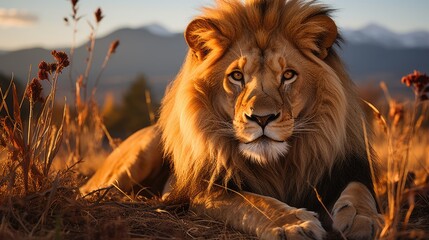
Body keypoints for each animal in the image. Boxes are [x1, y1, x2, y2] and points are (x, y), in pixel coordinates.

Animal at [81, 0, 382, 239]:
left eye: (288, 75)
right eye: (237, 76)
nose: (262, 118)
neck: (277, 166)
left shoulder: (345, 169)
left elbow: (360, 190)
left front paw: (362, 219)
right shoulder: (205, 190)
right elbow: (254, 203)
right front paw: (293, 223)